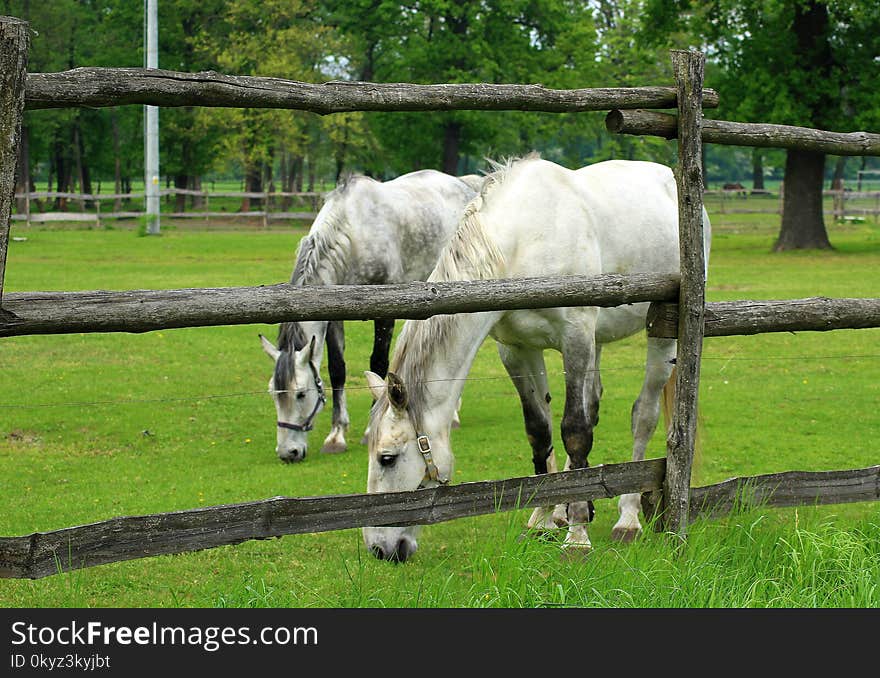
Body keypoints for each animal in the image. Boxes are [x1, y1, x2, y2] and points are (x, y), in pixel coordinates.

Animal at [260, 173, 478, 464]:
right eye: (273, 392)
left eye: (300, 393)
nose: (288, 453)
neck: (354, 235)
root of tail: (463, 184)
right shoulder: (334, 318)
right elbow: (337, 370)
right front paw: (336, 436)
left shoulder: (384, 312)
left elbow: (378, 363)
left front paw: (368, 430)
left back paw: (453, 415)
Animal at [360, 155, 712, 564]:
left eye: (387, 457)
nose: (380, 549)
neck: (521, 242)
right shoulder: (518, 350)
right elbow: (539, 431)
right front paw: (545, 517)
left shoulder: (575, 338)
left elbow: (575, 431)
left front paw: (577, 534)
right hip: (596, 341)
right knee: (594, 404)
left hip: (658, 339)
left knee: (643, 416)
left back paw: (627, 517)